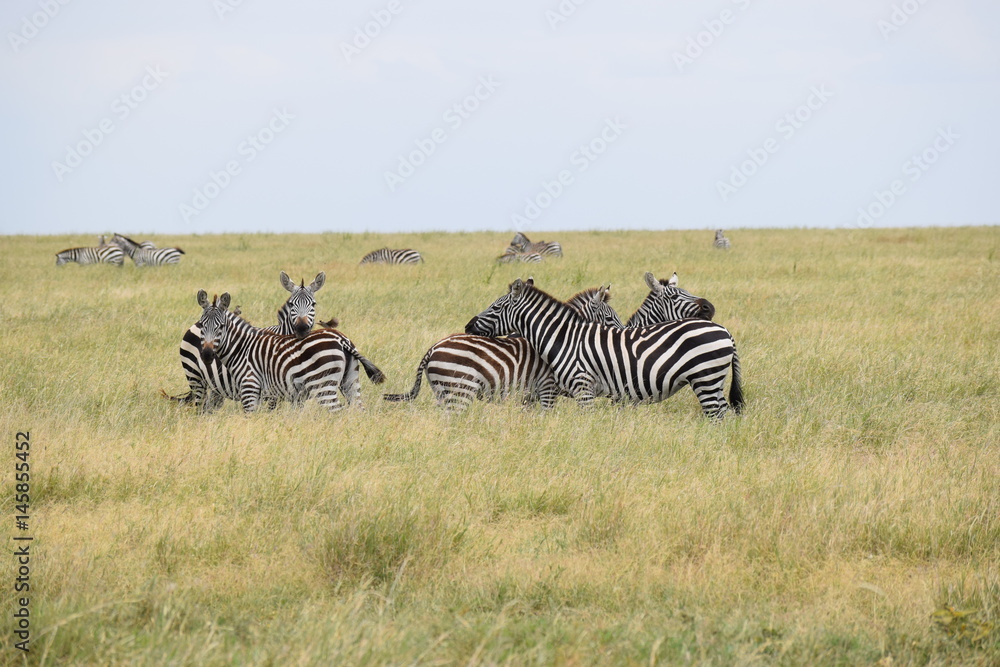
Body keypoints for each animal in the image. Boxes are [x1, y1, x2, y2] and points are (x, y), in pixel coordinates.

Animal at [173, 272, 329, 412]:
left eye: (313, 304)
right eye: (291, 304)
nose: (301, 328)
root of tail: (194, 324)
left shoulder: (296, 394)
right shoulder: (272, 392)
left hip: (215, 387)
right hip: (195, 377)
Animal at [194, 290, 385, 413]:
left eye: (221, 326)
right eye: (202, 325)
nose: (207, 355)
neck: (242, 348)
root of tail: (341, 340)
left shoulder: (249, 387)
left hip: (324, 385)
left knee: (336, 412)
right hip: (350, 381)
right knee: (358, 410)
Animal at [382, 282, 622, 412]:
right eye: (610, 319)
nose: (626, 329)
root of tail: (433, 348)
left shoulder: (531, 394)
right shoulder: (547, 387)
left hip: (442, 391)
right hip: (457, 389)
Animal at [465, 279, 743, 418]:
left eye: (495, 307)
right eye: (675, 295)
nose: (468, 326)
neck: (563, 338)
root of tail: (725, 331)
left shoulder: (584, 387)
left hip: (705, 379)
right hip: (711, 381)